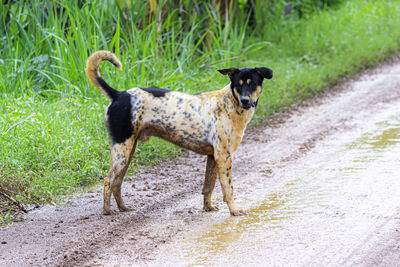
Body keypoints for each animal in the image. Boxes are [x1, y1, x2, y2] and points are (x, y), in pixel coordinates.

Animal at [84, 50, 272, 218]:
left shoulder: (213, 157)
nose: (245, 101)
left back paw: (123, 208)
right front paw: (234, 210)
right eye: (238, 85)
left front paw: (208, 207)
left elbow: (208, 187)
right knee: (108, 181)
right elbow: (228, 188)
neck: (230, 103)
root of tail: (118, 94)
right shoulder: (224, 156)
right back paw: (107, 211)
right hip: (122, 151)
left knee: (117, 183)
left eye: (252, 83)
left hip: (128, 151)